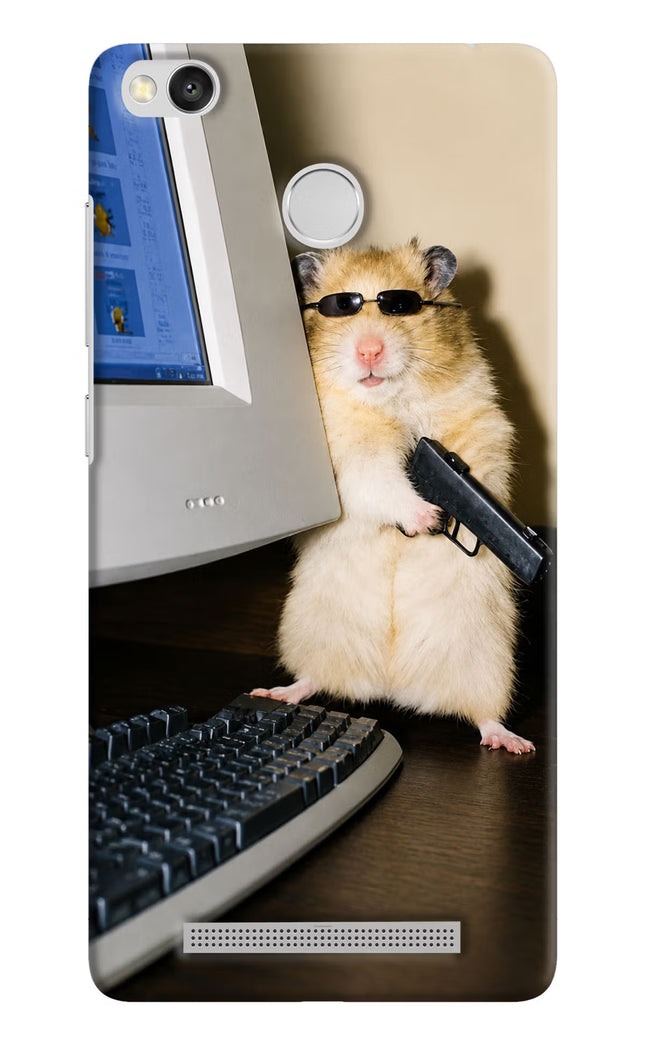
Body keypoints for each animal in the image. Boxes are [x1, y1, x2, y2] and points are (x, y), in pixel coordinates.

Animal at [252, 239, 534, 754]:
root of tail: (393, 686)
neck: (389, 401)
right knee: (313, 679)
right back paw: (276, 692)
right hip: (310, 632)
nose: (369, 350)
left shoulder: (481, 424)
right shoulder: (348, 458)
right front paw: (428, 518)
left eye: (401, 306)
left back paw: (513, 742)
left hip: (488, 661)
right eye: (339, 307)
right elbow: (380, 482)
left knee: (484, 714)